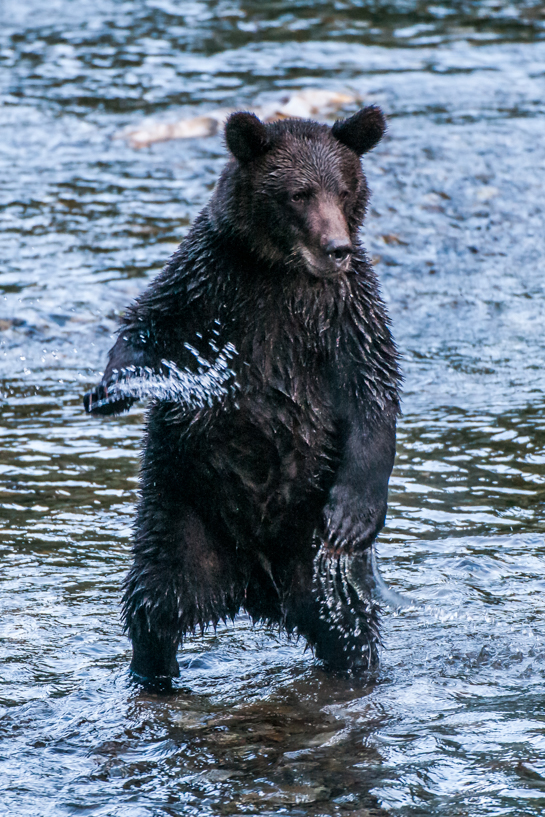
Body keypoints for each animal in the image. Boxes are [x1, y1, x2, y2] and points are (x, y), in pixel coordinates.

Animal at [84, 106, 401, 686]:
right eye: (299, 193)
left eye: (344, 189)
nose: (337, 248)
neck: (281, 270)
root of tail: (255, 588)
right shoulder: (208, 283)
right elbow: (147, 326)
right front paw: (111, 389)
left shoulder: (344, 310)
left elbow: (372, 393)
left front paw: (352, 516)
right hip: (182, 515)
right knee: (154, 603)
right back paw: (152, 674)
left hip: (307, 546)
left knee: (347, 619)